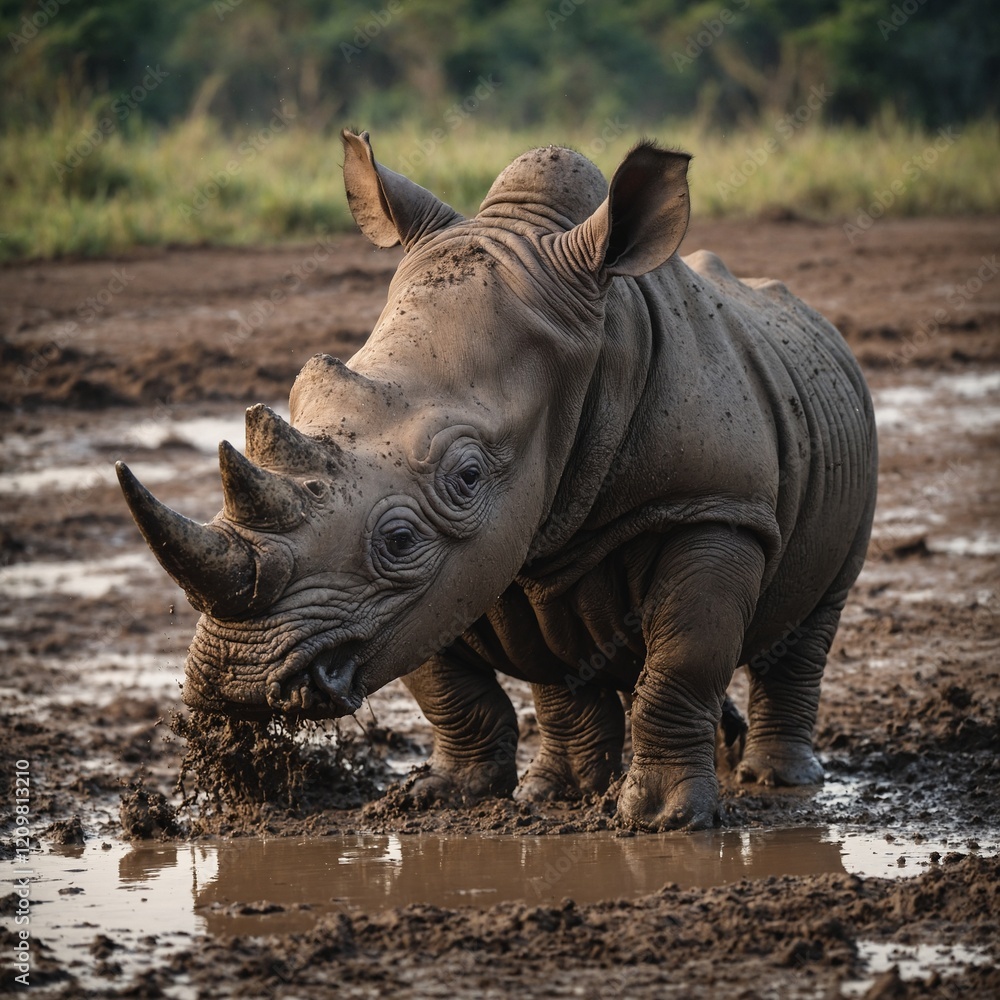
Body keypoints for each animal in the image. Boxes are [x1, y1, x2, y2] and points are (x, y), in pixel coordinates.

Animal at [117, 130, 877, 830]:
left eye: (465, 477)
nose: (235, 680)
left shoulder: (716, 505)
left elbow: (684, 657)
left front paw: (662, 820)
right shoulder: (444, 575)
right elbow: (440, 679)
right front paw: (442, 797)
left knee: (805, 628)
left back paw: (773, 780)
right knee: (564, 654)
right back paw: (561, 794)